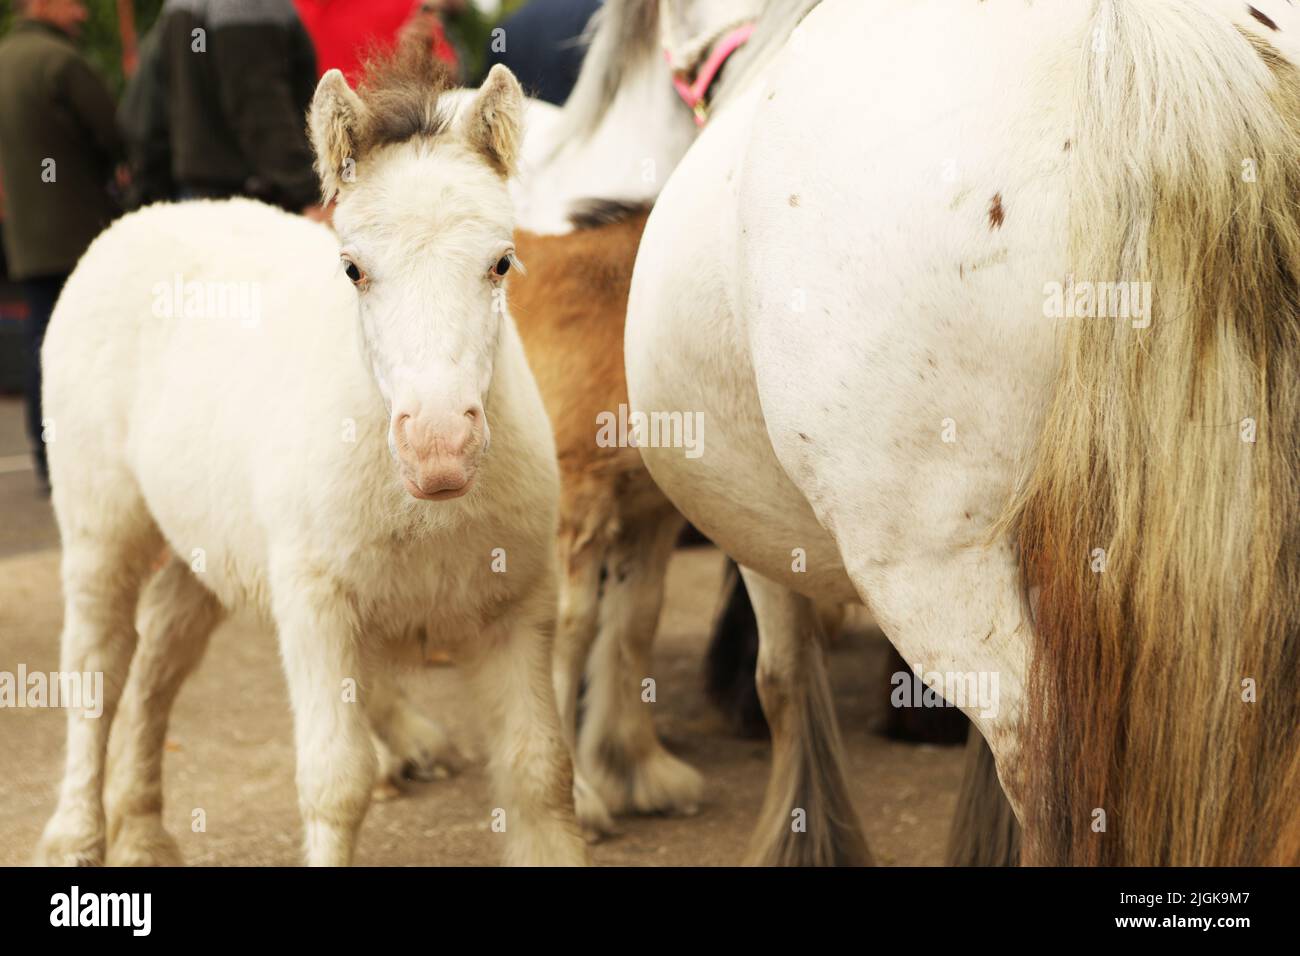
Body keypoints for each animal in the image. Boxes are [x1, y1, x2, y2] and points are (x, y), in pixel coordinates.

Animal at [34, 51, 588, 867]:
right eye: (353, 268)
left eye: (502, 261)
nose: (438, 447)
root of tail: (139, 218)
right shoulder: (317, 609)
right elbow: (336, 782)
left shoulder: (516, 605)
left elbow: (539, 771)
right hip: (102, 525)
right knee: (97, 662)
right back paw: (77, 833)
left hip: (206, 542)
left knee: (160, 657)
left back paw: (141, 832)